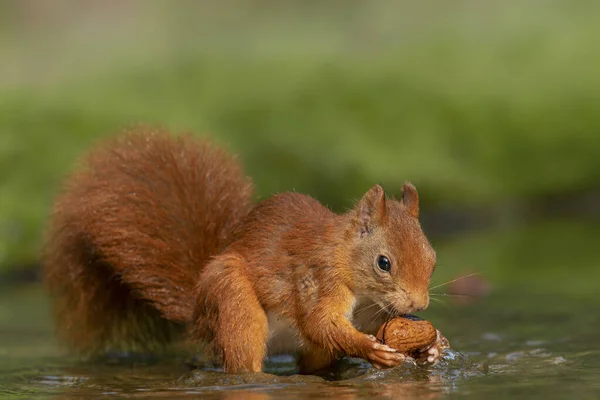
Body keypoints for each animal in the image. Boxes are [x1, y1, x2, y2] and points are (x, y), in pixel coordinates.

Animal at [42, 126, 436, 374]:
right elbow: (321, 323)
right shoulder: (318, 279)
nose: (419, 305)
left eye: (432, 259)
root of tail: (197, 311)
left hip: (308, 352)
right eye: (383, 263)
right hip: (233, 303)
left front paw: (431, 346)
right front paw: (371, 350)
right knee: (245, 356)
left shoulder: (372, 313)